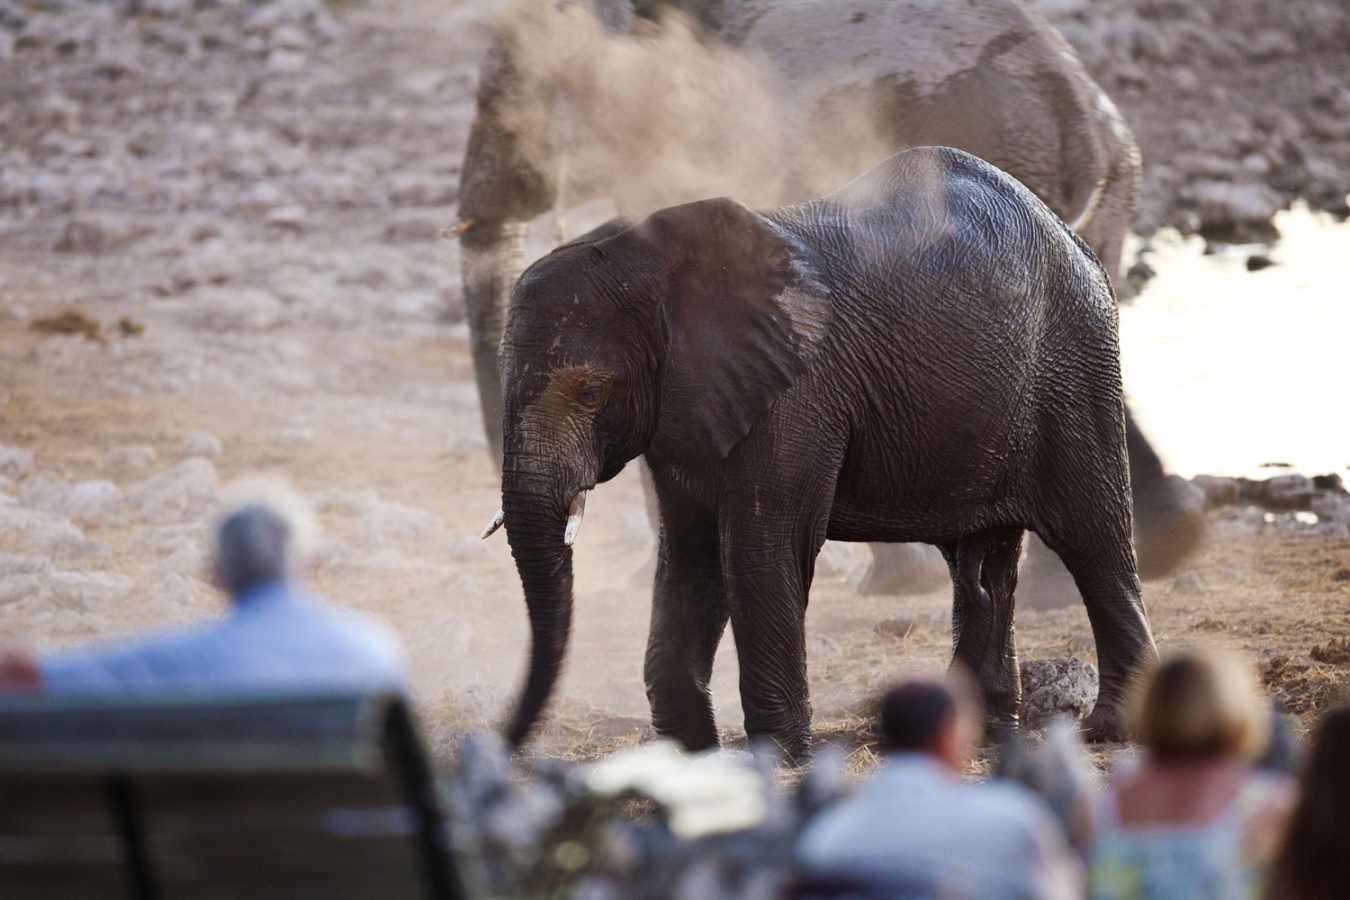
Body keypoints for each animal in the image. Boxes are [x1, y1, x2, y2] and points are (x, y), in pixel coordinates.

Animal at [489, 146, 1159, 762]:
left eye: (590, 391)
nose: (506, 741)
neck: (656, 258)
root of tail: (1073, 236)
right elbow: (688, 554)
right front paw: (690, 751)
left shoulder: (797, 392)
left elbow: (762, 548)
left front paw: (777, 756)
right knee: (981, 566)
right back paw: (984, 733)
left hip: (1078, 366)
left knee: (1095, 541)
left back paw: (1106, 730)